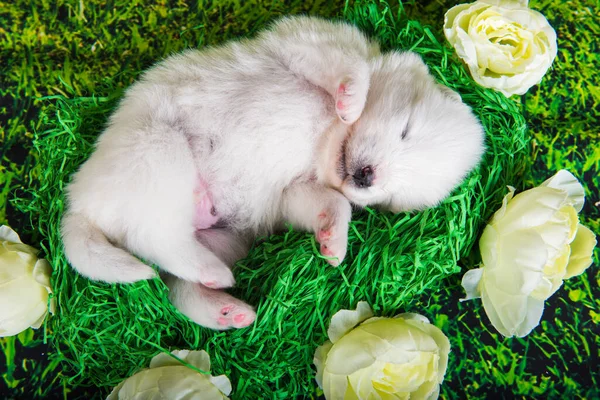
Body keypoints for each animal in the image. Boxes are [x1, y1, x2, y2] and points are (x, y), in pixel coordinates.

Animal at [61, 15, 486, 330]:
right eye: (405, 130)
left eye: (396, 192)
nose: (367, 177)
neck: (326, 140)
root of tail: (81, 206)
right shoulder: (304, 41)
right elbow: (353, 68)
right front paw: (351, 99)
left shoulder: (294, 192)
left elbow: (334, 204)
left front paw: (334, 243)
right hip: (159, 151)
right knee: (152, 238)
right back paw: (214, 277)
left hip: (223, 234)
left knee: (175, 278)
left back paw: (224, 305)